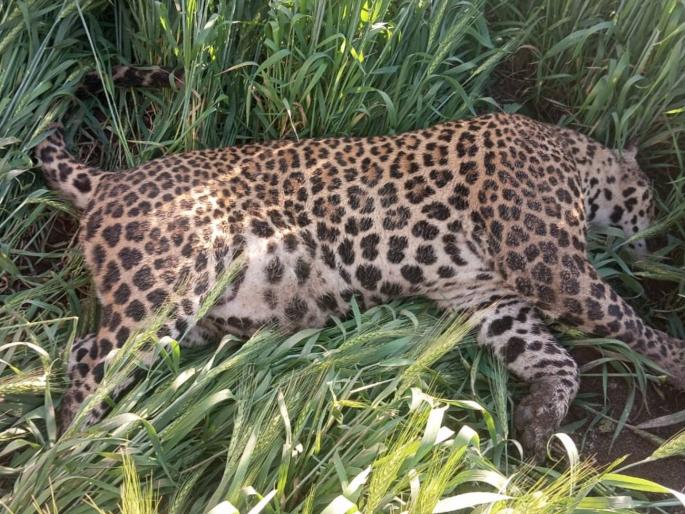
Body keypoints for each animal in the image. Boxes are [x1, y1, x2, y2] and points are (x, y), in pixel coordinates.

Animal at [36, 65, 685, 458]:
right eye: (653, 199)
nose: (663, 242)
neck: (575, 158)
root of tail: (109, 181)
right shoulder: (548, 260)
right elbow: (625, 320)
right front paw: (678, 360)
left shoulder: (485, 294)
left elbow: (556, 357)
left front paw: (539, 419)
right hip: (169, 285)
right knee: (94, 360)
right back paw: (70, 458)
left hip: (189, 320)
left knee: (83, 351)